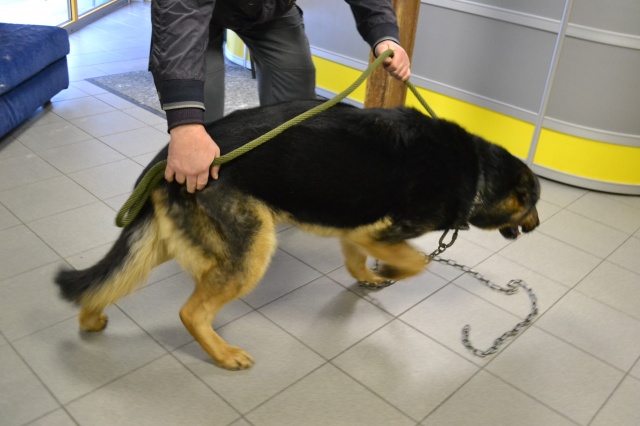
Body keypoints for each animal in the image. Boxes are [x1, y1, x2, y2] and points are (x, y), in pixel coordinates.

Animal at [55, 100, 540, 370]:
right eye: (533, 203)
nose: (537, 226)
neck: (478, 170)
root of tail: (167, 159)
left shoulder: (357, 229)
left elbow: (356, 259)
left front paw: (369, 276)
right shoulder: (382, 232)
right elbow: (417, 262)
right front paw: (389, 272)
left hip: (164, 244)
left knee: (108, 279)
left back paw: (91, 319)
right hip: (253, 249)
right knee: (190, 312)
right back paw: (222, 354)